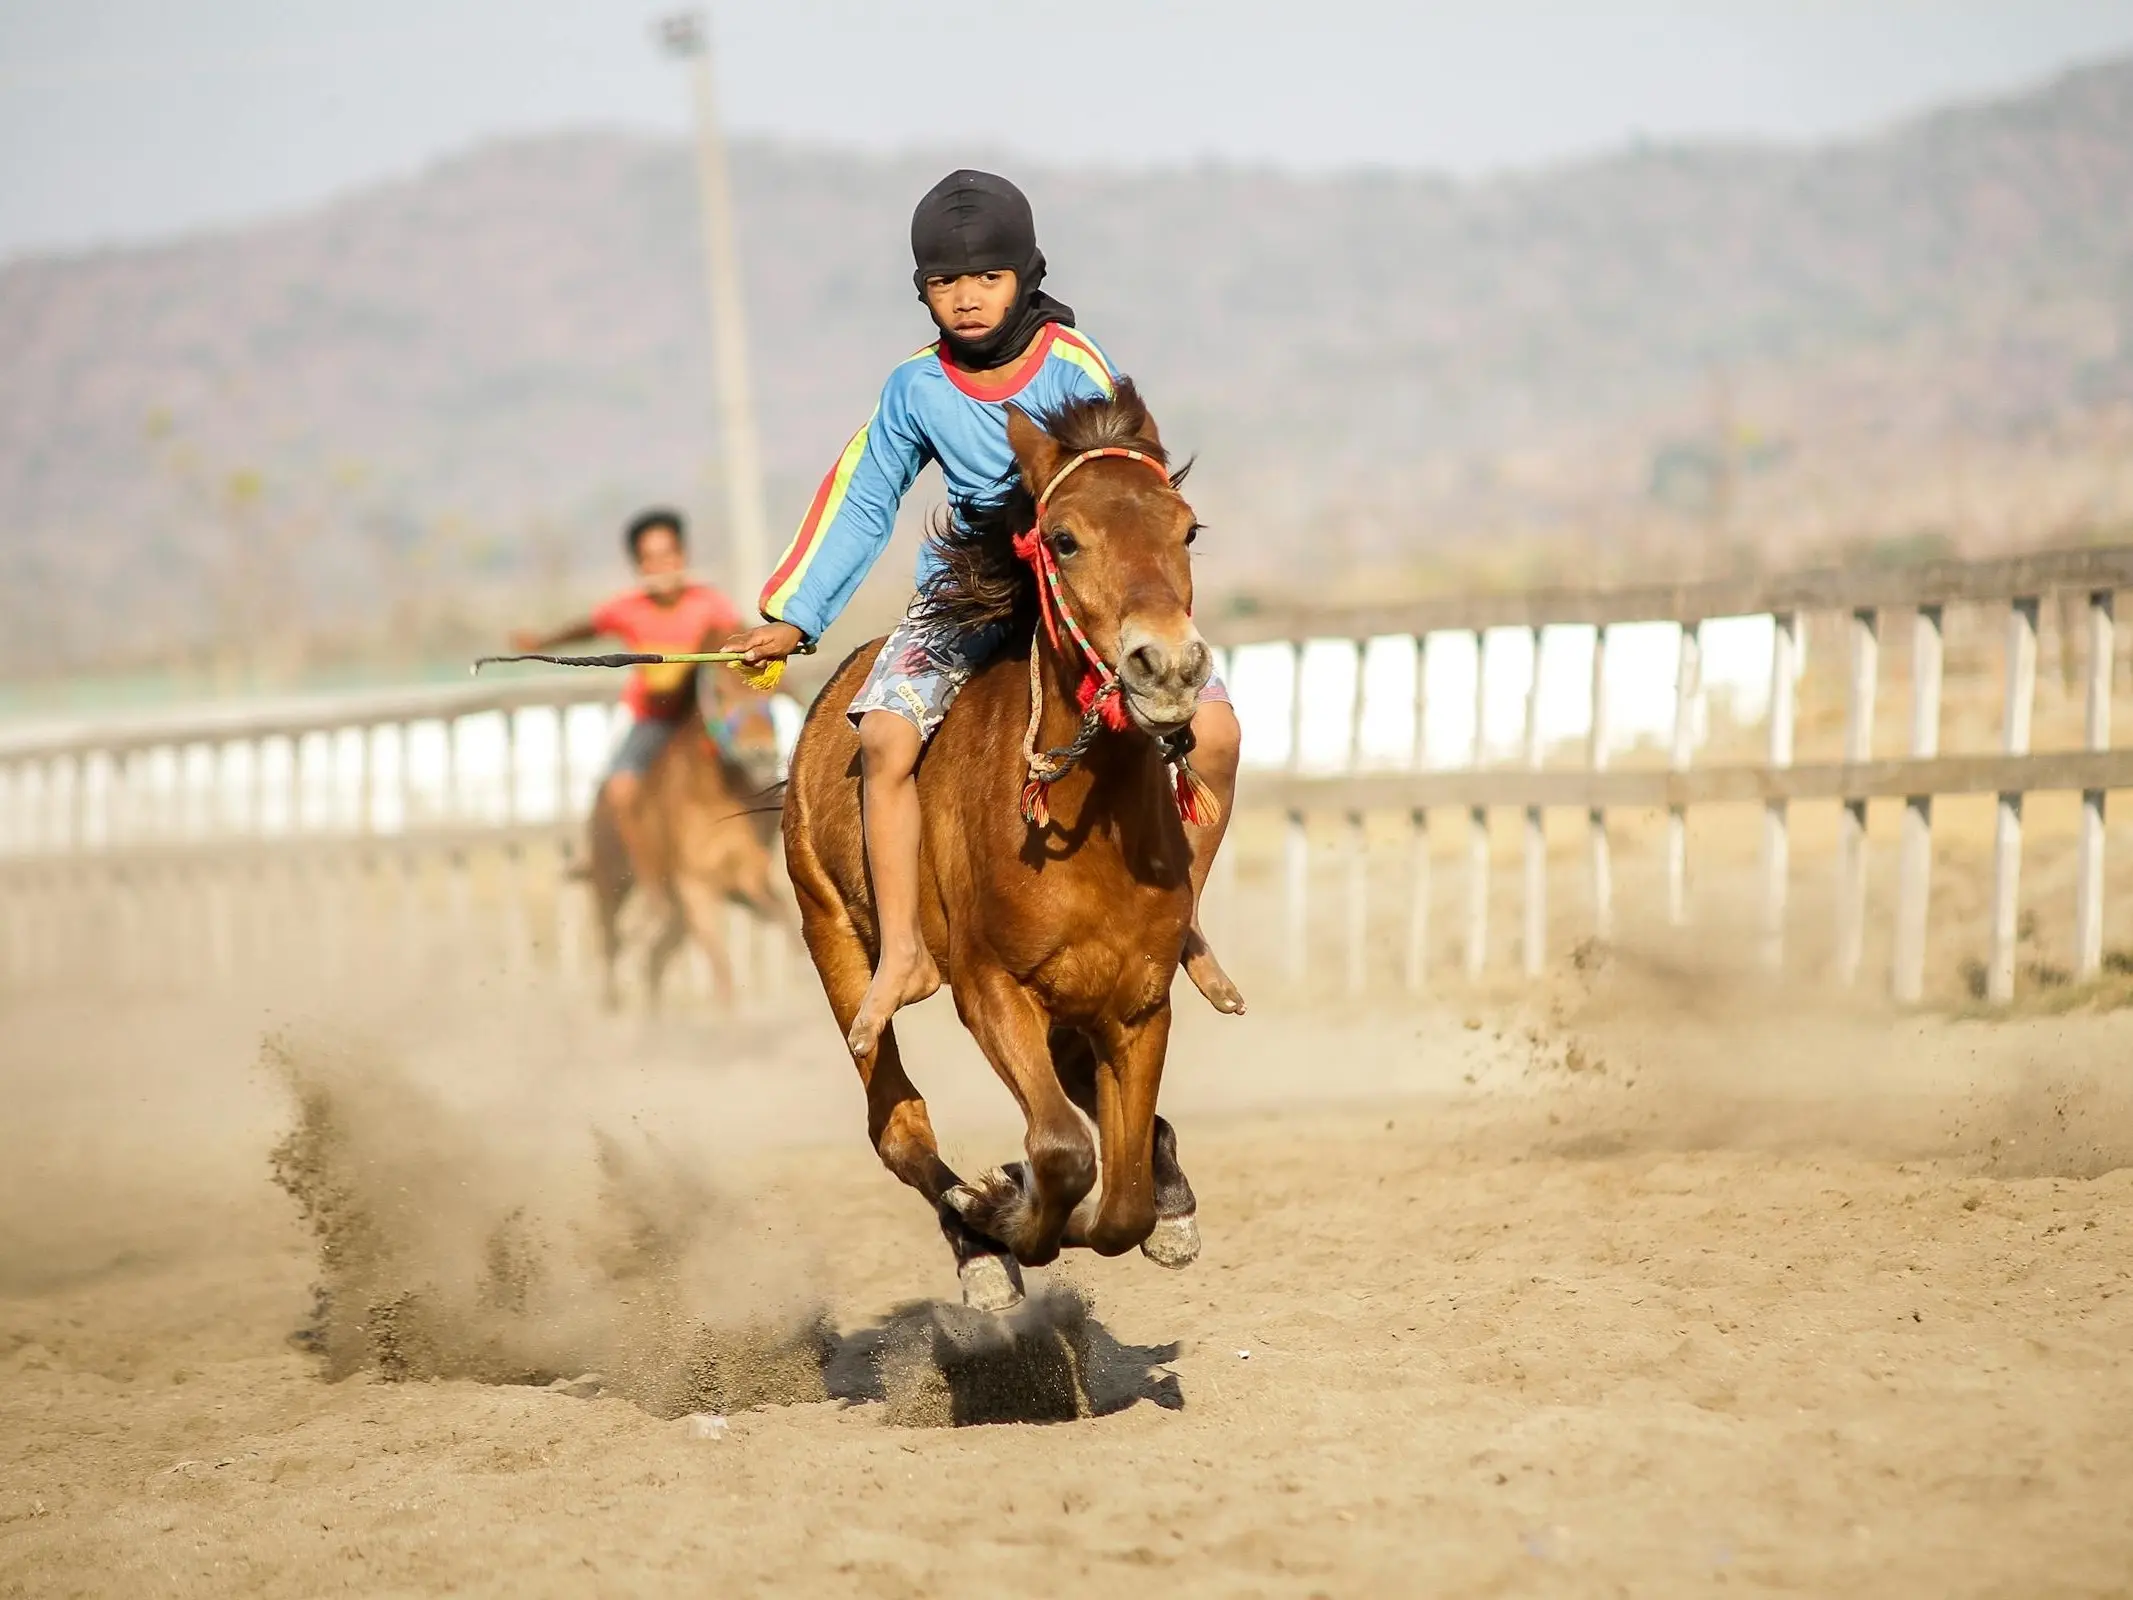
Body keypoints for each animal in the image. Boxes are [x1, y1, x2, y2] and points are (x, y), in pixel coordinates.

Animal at [586, 653, 790, 1012]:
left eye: (770, 694)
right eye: (719, 693)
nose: (760, 752)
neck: (712, 795)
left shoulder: (750, 880)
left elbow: (790, 926)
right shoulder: (696, 886)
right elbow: (722, 970)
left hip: (677, 918)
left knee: (654, 959)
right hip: (611, 886)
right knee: (612, 946)